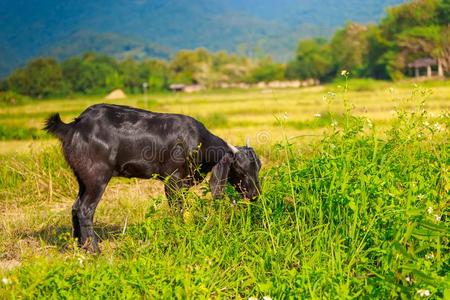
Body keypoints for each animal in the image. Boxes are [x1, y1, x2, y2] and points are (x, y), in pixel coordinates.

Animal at [44, 104, 262, 252]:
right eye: (240, 169)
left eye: (258, 166)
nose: (255, 194)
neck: (198, 142)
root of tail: (74, 126)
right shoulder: (173, 182)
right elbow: (177, 210)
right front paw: (179, 235)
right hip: (96, 177)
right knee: (85, 210)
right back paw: (95, 250)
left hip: (82, 179)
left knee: (75, 207)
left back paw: (79, 246)